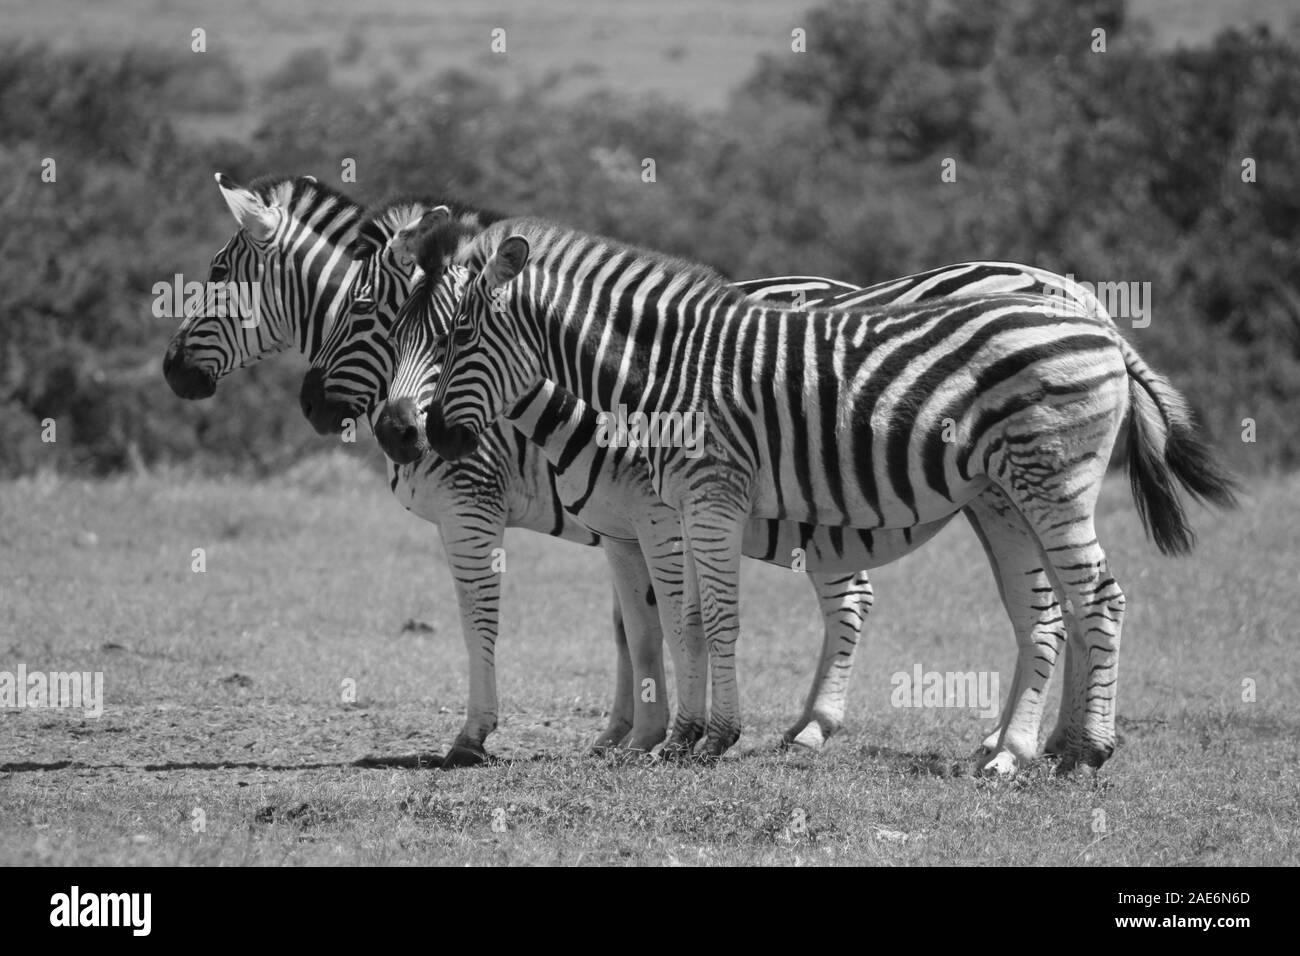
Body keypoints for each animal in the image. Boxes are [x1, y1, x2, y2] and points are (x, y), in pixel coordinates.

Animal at [418, 217, 1237, 770]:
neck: (661, 373)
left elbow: (713, 619)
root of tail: (1099, 324)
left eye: (458, 336)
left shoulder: (707, 495)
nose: (428, 438)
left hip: (1054, 480)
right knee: (1053, 607)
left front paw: (710, 739)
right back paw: (1022, 750)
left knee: (1100, 598)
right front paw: (682, 736)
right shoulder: (677, 506)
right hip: (1010, 495)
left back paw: (1080, 751)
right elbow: (683, 620)